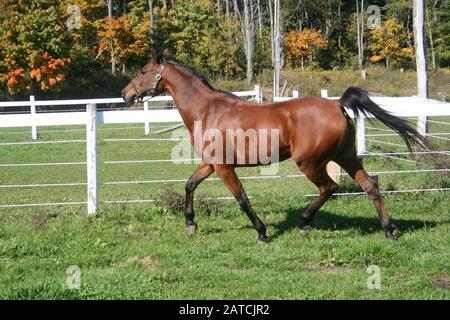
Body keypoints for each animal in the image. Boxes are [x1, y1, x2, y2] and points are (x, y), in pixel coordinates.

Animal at [122, 48, 426, 241]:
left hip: (310, 162)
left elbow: (241, 198)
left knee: (330, 188)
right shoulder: (209, 164)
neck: (208, 110)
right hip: (346, 157)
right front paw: (190, 225)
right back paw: (388, 230)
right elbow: (189, 186)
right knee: (370, 186)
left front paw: (262, 232)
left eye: (144, 70)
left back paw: (304, 224)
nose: (126, 94)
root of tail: (337, 104)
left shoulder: (223, 167)